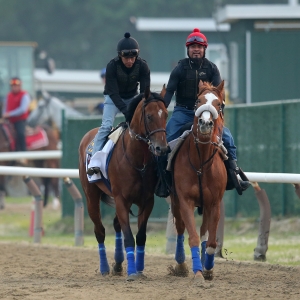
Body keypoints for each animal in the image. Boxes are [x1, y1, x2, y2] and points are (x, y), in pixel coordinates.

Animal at [78, 86, 169, 282]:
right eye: (149, 116)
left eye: (166, 114)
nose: (162, 148)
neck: (137, 160)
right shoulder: (121, 199)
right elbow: (129, 237)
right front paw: (132, 272)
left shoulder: (146, 201)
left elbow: (141, 236)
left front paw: (139, 269)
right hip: (91, 196)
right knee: (100, 231)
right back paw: (105, 268)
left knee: (116, 224)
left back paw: (118, 264)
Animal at [170, 80, 226, 284]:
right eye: (198, 101)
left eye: (219, 104)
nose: (205, 123)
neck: (201, 164)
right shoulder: (185, 200)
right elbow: (192, 236)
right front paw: (198, 272)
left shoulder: (214, 202)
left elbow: (210, 240)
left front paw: (208, 268)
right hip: (175, 201)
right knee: (180, 228)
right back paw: (180, 264)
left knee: (204, 232)